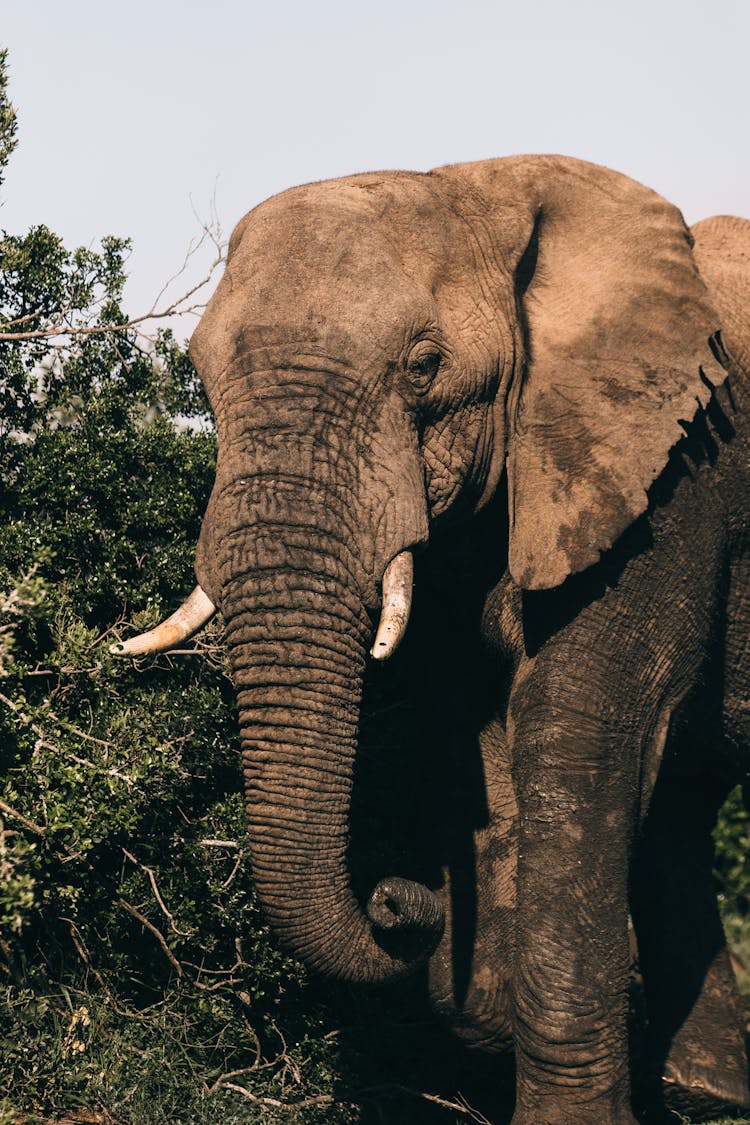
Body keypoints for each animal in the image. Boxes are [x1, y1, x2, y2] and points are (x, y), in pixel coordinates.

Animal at [114, 160, 746, 1125]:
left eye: (424, 367)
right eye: (199, 376)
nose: (400, 896)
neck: (483, 185)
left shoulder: (671, 471)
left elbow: (574, 727)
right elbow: (474, 727)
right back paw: (707, 1091)